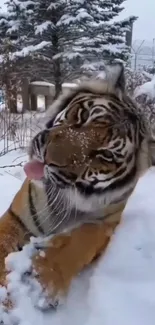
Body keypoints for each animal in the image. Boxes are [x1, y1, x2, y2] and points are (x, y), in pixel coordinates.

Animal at [0, 61, 154, 314]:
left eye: (104, 155)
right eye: (84, 116)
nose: (48, 157)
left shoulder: (104, 225)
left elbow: (78, 242)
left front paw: (41, 281)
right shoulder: (17, 217)